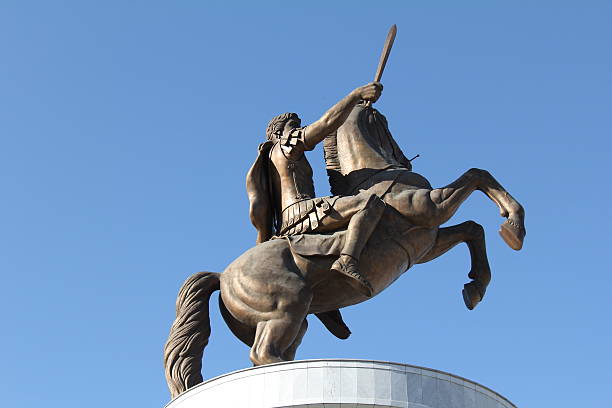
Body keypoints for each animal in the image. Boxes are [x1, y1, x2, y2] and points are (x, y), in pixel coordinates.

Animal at [163, 103, 524, 398]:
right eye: (384, 121)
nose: (404, 158)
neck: (377, 176)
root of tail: (222, 277)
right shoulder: (430, 207)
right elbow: (477, 176)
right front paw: (514, 227)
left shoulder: (426, 244)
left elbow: (473, 229)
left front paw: (475, 286)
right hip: (288, 308)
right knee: (263, 353)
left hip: (290, 320)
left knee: (270, 353)